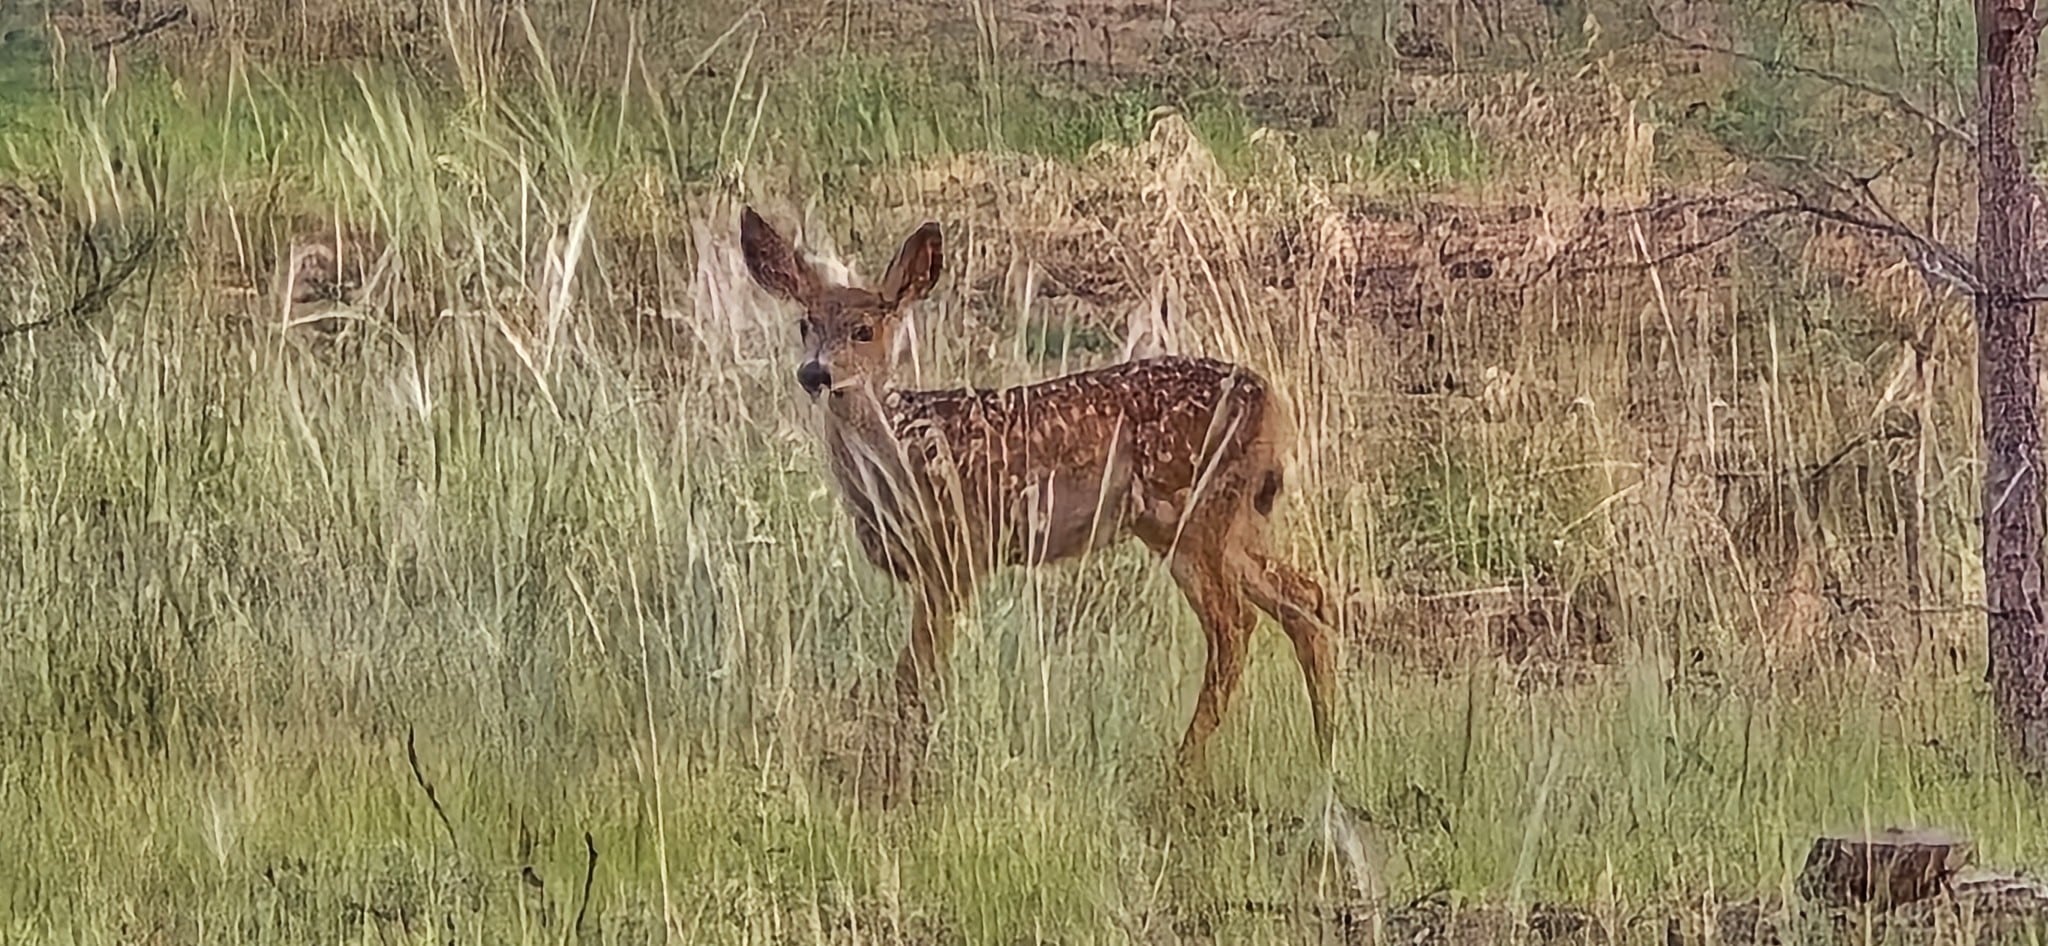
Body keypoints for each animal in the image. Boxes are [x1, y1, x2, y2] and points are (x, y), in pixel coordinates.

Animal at [738, 205, 1340, 783]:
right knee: (1305, 601)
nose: (815, 373)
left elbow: (915, 672)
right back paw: (1325, 752)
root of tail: (1272, 402)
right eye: (805, 324)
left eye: (863, 330)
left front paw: (902, 773)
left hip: (1195, 517)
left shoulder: (955, 553)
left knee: (1236, 626)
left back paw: (1183, 771)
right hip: (1229, 521)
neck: (900, 454)